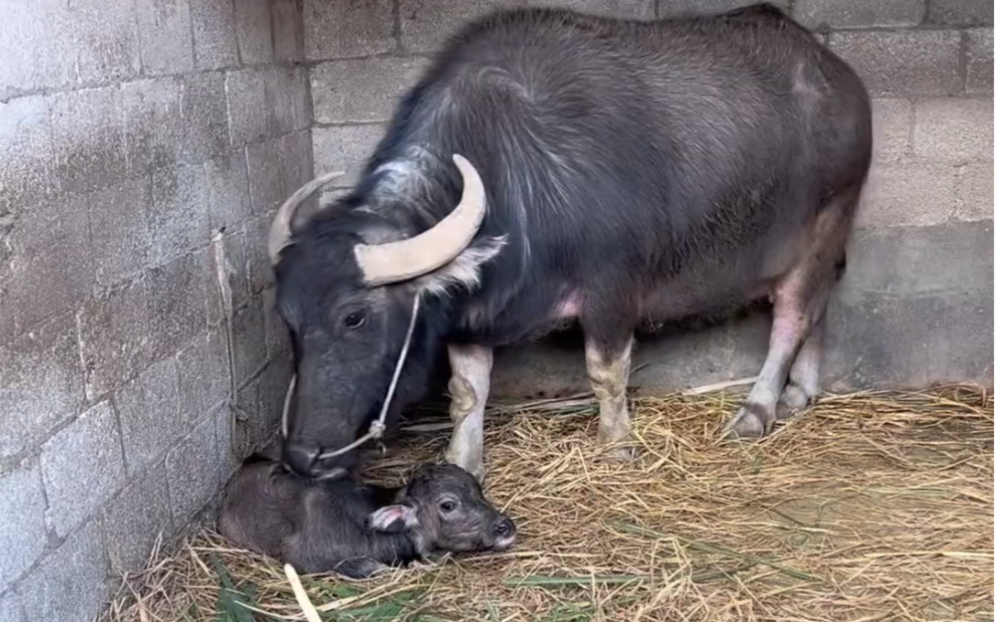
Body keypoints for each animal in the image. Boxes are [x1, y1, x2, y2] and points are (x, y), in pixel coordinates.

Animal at [266, 2, 872, 482]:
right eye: (288, 321)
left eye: (354, 317)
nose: (302, 457)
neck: (512, 173)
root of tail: (840, 78)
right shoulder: (472, 316)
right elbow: (468, 391)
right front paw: (463, 461)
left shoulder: (612, 292)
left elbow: (606, 372)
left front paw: (618, 446)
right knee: (817, 308)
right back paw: (800, 392)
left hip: (824, 225)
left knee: (792, 317)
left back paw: (757, 409)